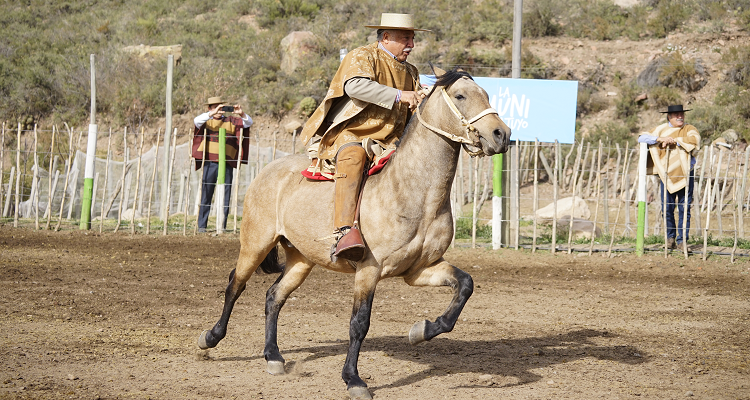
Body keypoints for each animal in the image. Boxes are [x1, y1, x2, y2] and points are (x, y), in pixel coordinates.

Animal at [197, 67, 516, 398]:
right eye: (460, 95)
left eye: (487, 94)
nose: (501, 134)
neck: (413, 193)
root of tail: (269, 170)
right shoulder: (368, 271)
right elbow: (359, 323)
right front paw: (354, 379)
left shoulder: (419, 269)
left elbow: (464, 285)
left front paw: (422, 330)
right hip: (256, 243)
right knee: (235, 285)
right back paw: (210, 338)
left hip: (301, 259)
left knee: (274, 296)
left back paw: (273, 357)